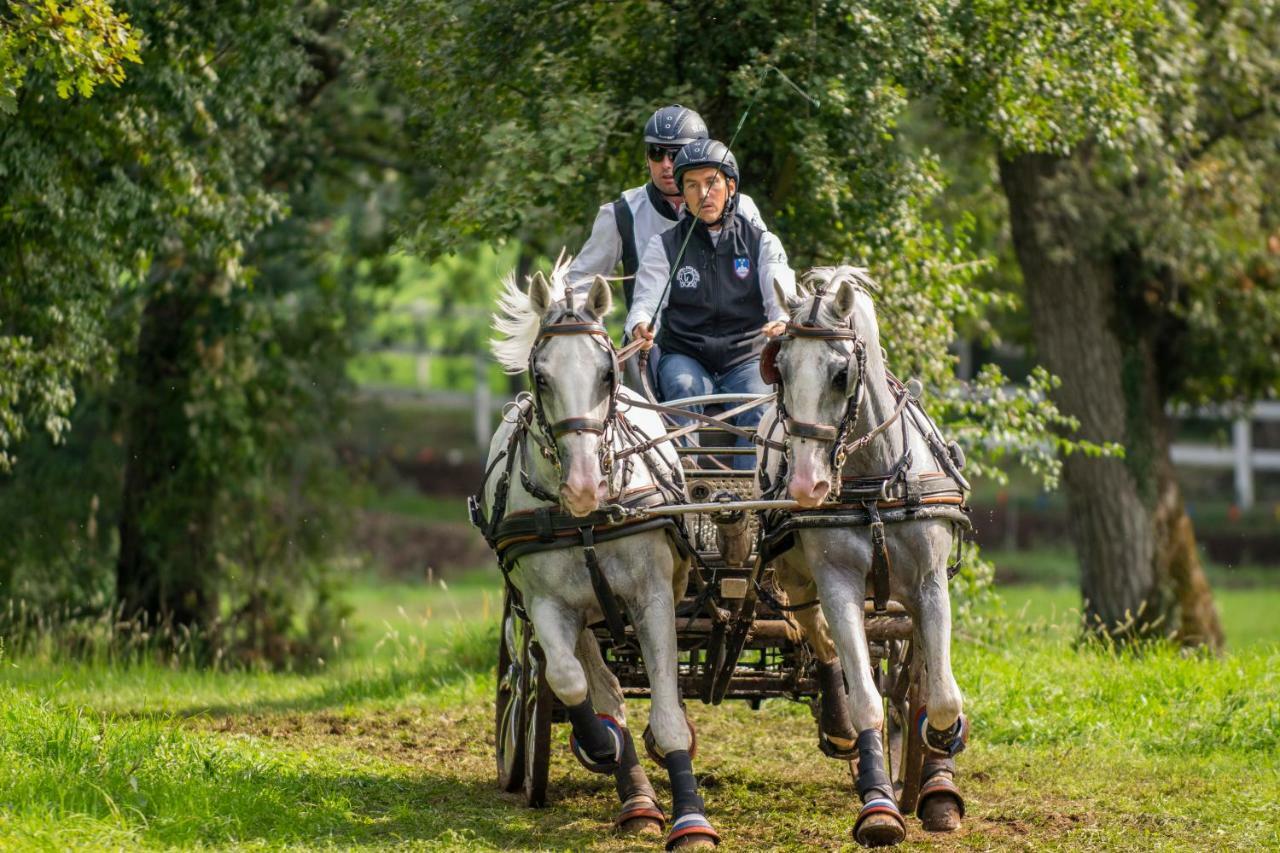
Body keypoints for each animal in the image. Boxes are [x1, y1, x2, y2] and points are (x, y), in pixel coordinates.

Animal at [481, 257, 721, 845]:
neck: (589, 521)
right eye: (541, 377)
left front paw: (691, 818)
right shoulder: (546, 605)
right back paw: (634, 797)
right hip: (572, 614)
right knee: (600, 685)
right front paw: (600, 745)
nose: (584, 486)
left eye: (607, 374)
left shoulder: (653, 598)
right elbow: (569, 681)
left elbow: (667, 711)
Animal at [752, 266, 962, 845]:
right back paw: (840, 728)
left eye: (841, 373)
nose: (806, 486)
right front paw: (879, 806)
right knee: (822, 643)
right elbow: (865, 695)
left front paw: (942, 751)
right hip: (798, 582)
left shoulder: (930, 584)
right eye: (780, 370)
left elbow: (941, 695)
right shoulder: (837, 585)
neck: (873, 486)